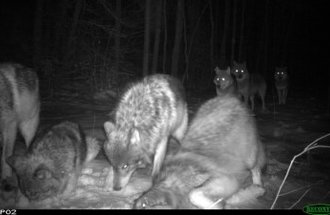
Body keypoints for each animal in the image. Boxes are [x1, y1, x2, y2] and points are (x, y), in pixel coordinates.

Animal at [134, 95, 266, 209]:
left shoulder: (227, 179)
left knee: (256, 170)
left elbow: (193, 194)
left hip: (250, 158)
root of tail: (228, 97)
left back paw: (258, 187)